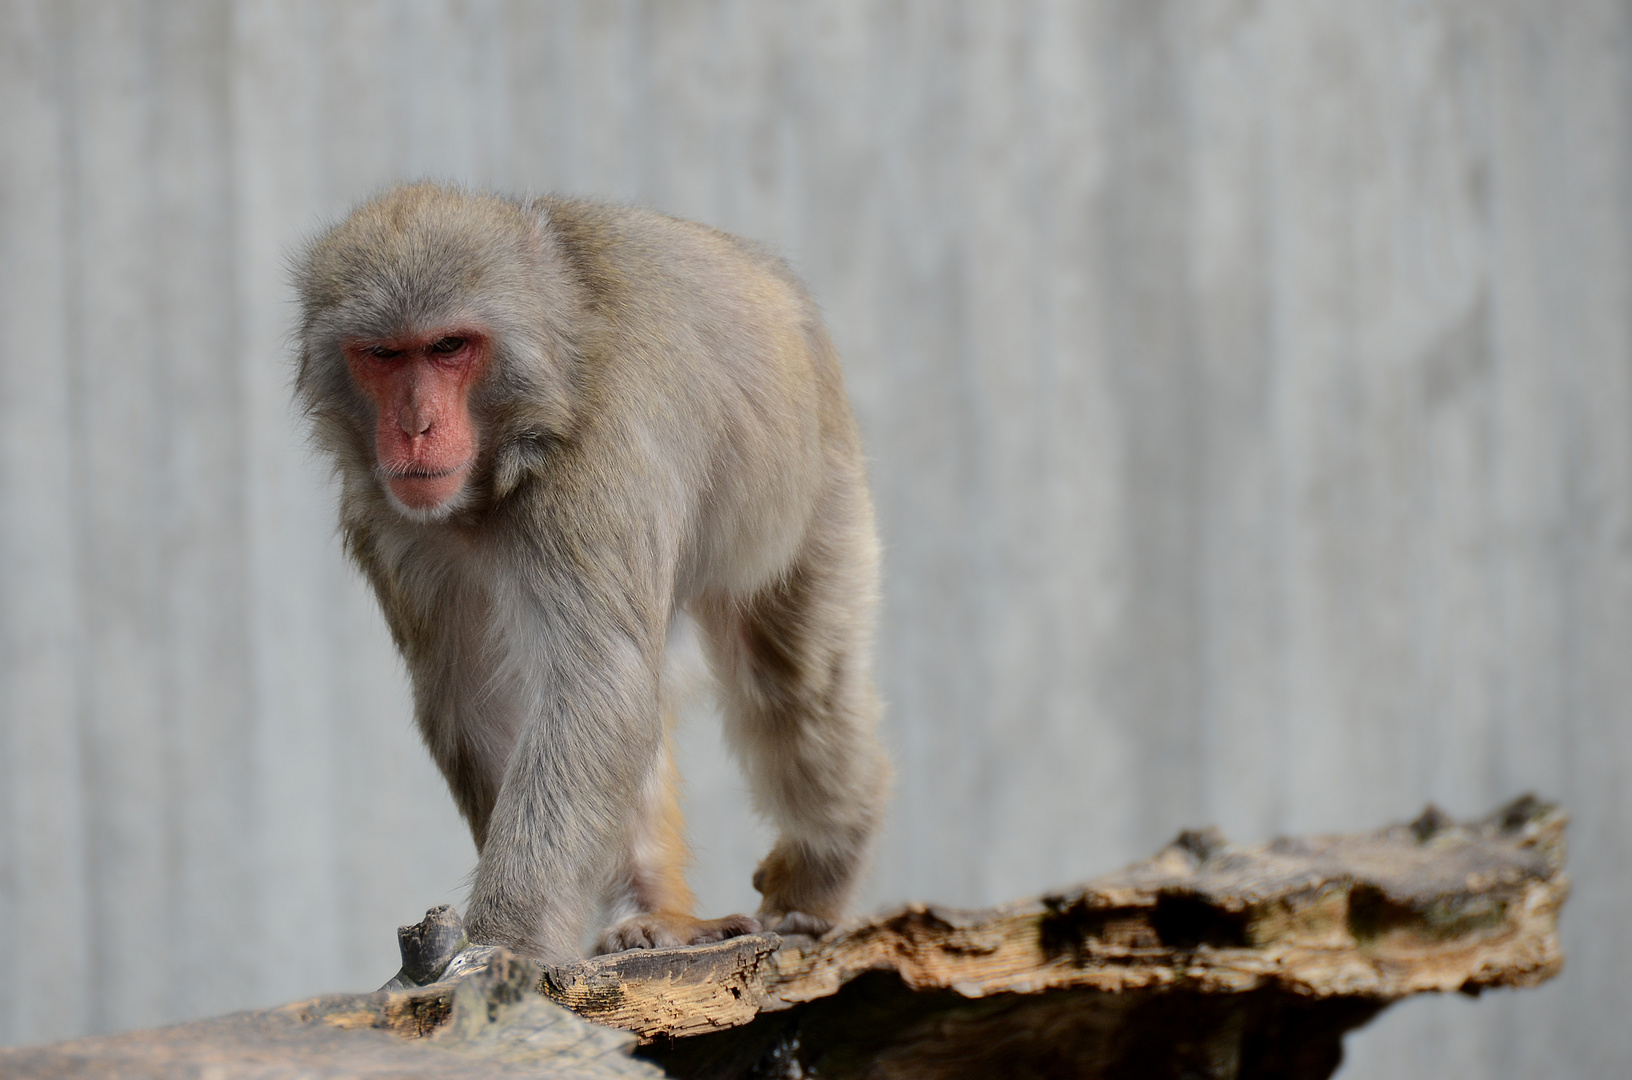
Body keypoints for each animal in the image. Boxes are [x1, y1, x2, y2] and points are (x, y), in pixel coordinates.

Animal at [287, 184, 887, 965]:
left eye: (448, 347)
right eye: (384, 355)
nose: (415, 427)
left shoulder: (591, 473)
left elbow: (596, 689)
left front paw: (506, 940)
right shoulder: (392, 528)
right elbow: (487, 699)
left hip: (820, 486)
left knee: (794, 684)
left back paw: (820, 874)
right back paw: (658, 908)